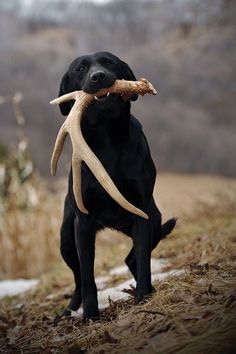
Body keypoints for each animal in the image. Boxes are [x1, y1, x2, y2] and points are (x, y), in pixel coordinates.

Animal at [57, 51, 175, 320]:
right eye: (80, 69)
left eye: (108, 62)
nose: (98, 77)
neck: (106, 136)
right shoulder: (83, 223)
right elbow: (88, 278)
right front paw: (91, 315)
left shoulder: (141, 212)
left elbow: (143, 262)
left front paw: (143, 299)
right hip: (66, 238)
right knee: (78, 278)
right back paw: (70, 310)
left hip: (155, 219)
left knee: (132, 259)